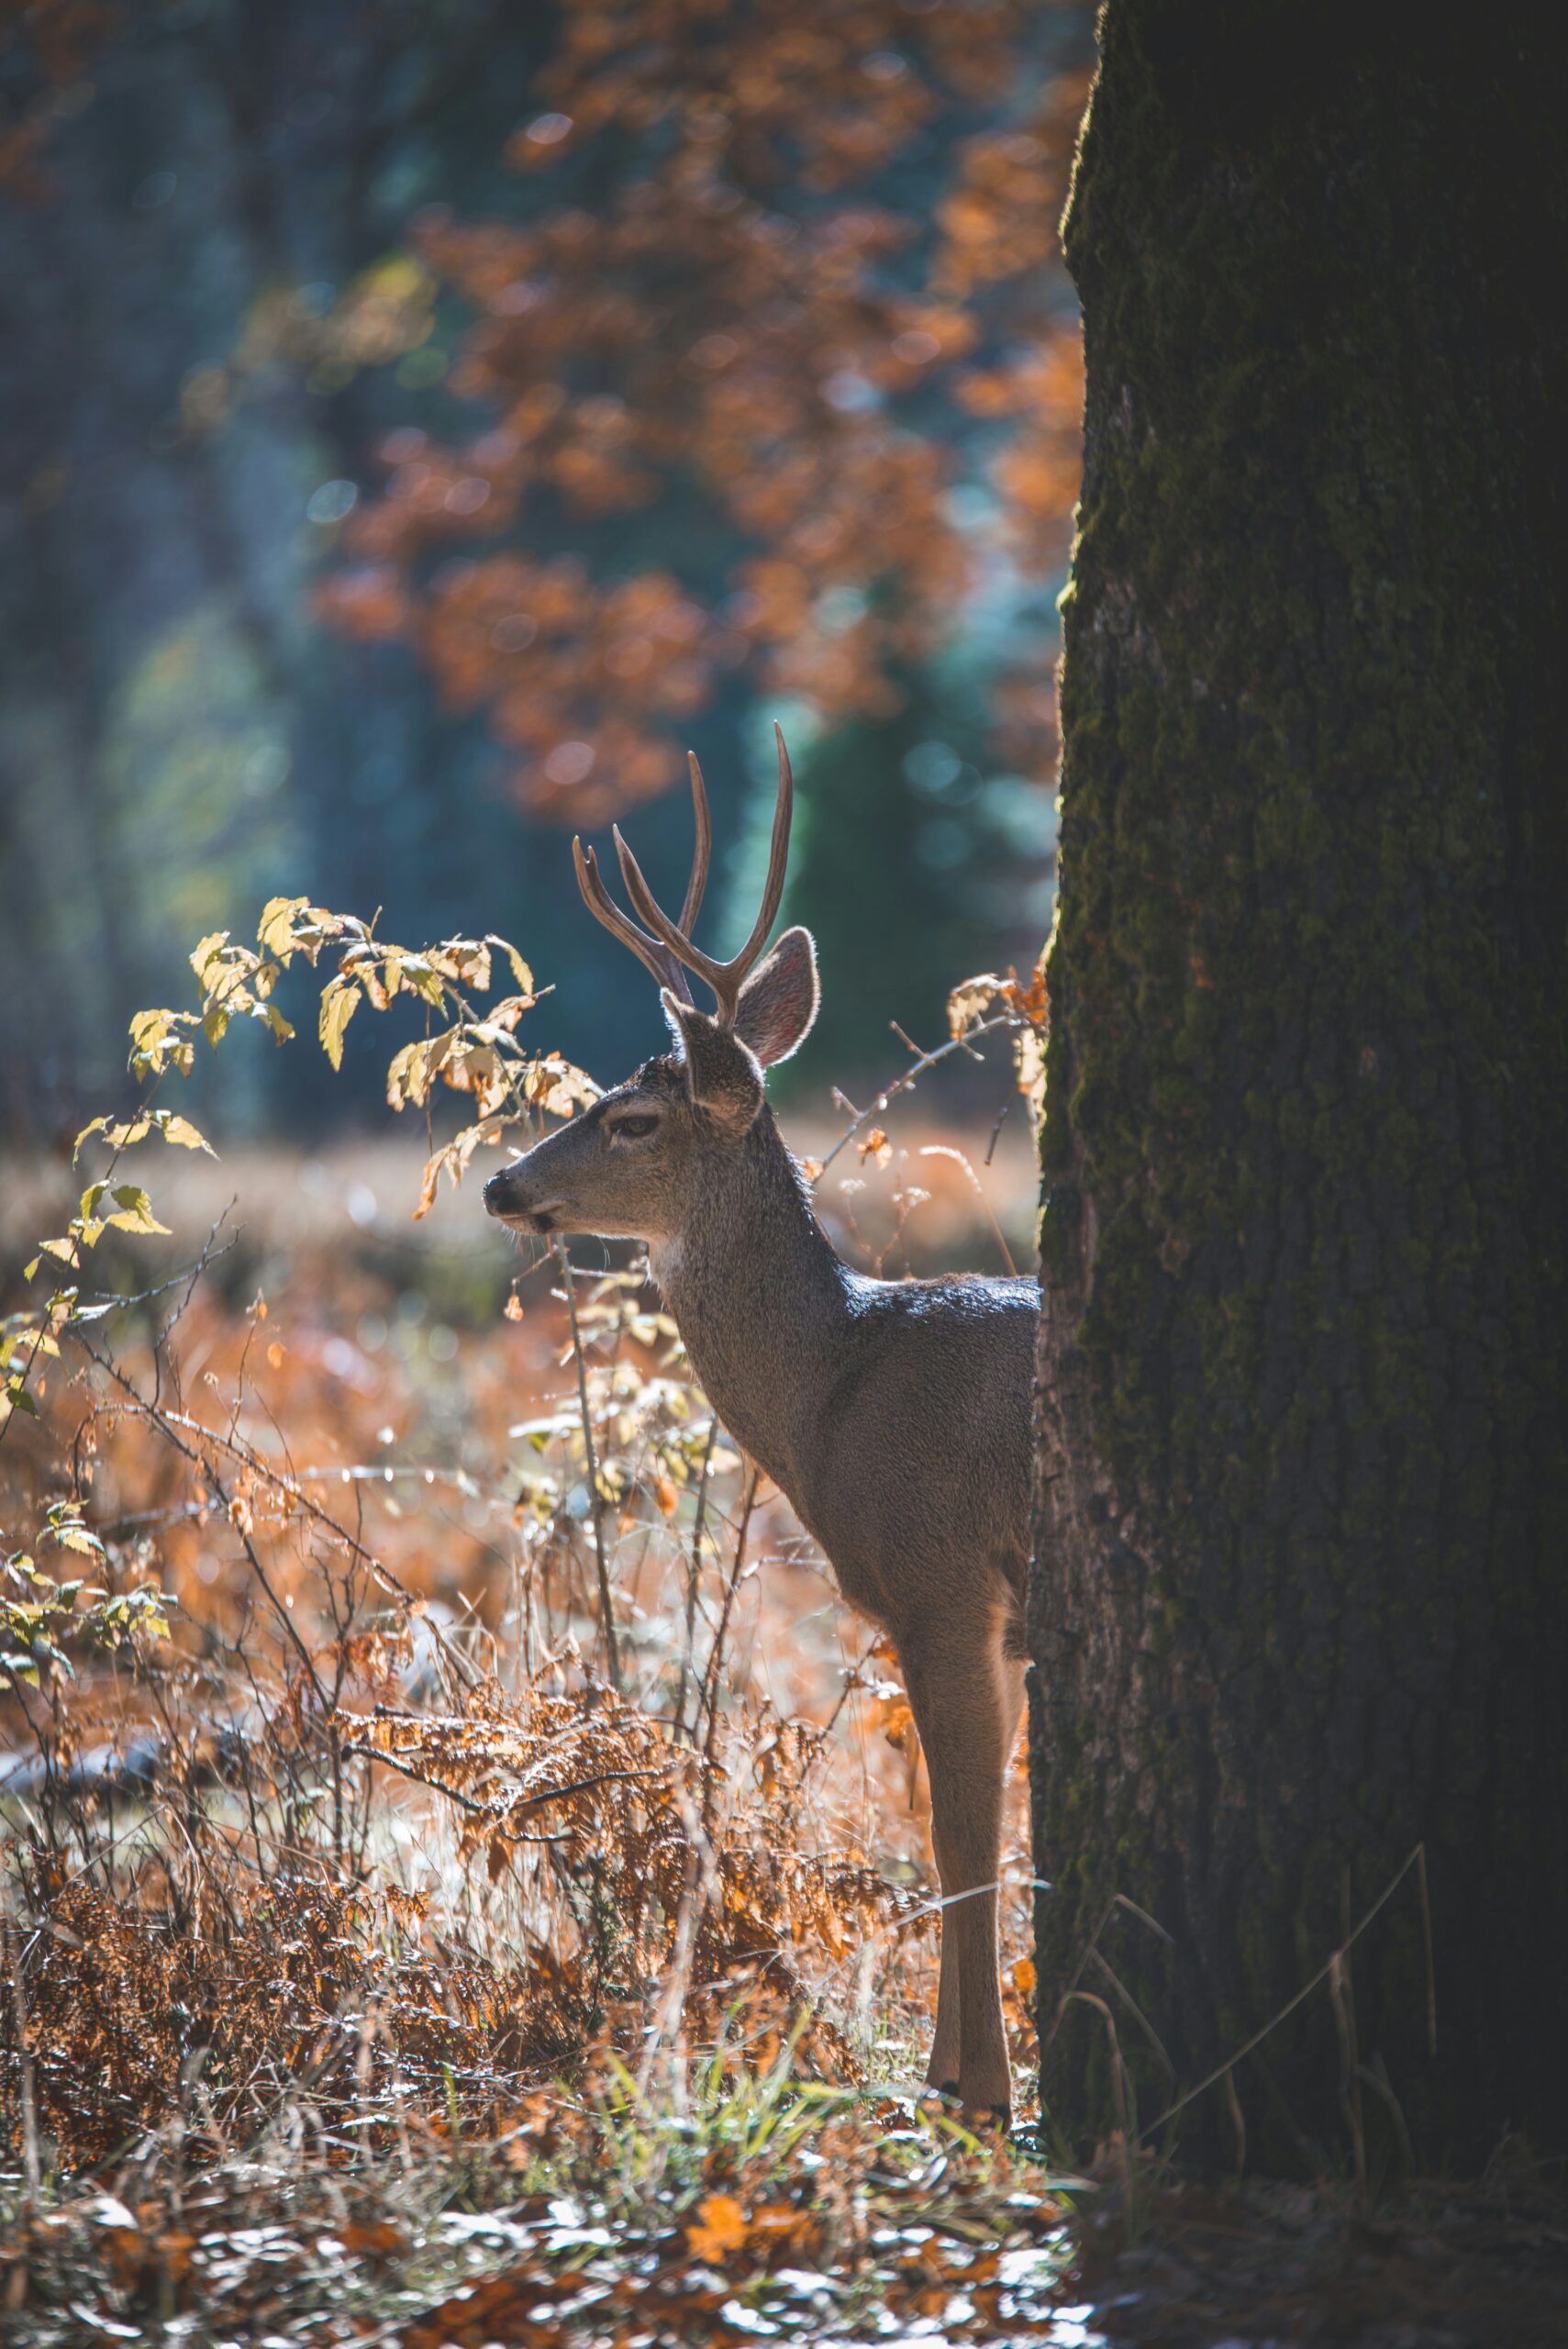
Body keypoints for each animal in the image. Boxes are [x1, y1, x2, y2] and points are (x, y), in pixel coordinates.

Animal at [481, 723, 1041, 2123]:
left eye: (631, 1117)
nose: (503, 1183)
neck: (834, 1390)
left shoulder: (941, 1579)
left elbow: (960, 1833)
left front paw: (976, 2092)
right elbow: (957, 1833)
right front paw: (946, 2070)